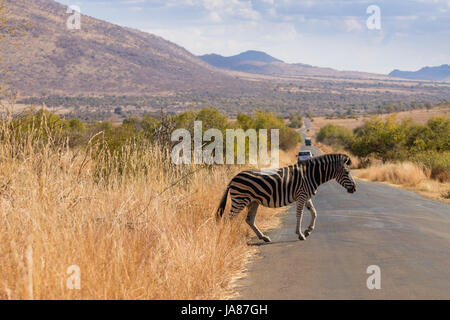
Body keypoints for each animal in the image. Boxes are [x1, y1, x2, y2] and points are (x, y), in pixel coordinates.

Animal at [216, 154, 356, 241]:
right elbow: (299, 215)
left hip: (253, 202)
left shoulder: (306, 196)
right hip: (240, 200)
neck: (311, 175)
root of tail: (234, 178)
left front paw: (308, 230)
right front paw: (300, 234)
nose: (354, 189)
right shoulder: (301, 195)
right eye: (347, 172)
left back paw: (264, 237)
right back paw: (227, 237)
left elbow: (314, 212)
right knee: (228, 219)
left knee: (249, 220)